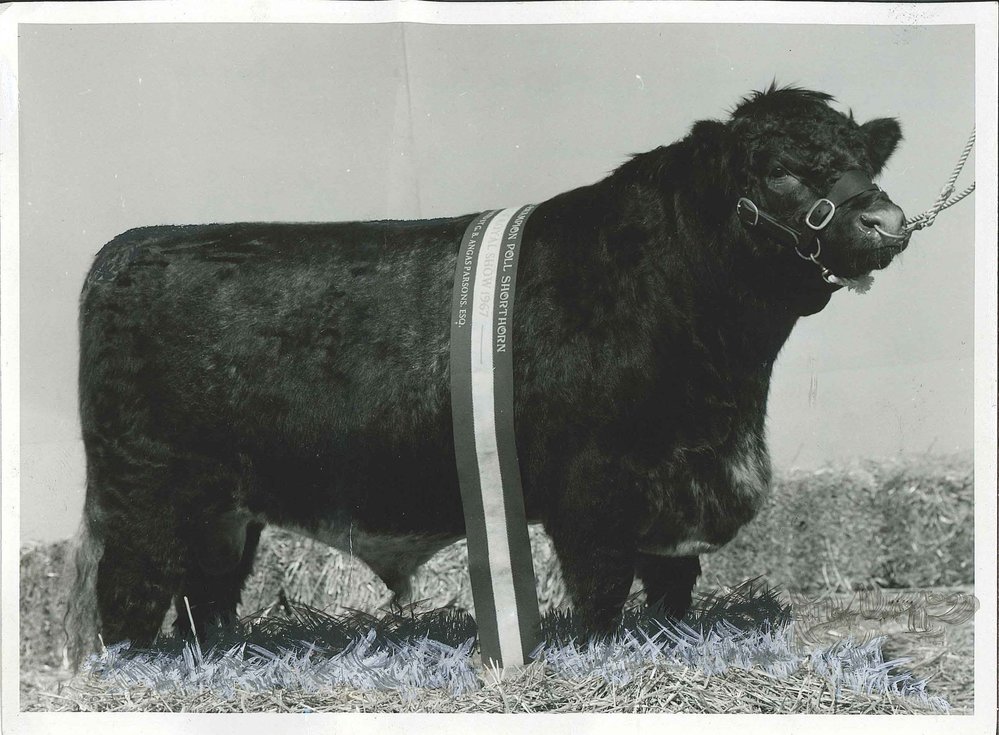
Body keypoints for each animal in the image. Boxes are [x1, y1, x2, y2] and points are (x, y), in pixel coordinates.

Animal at [65, 85, 909, 668]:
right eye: (780, 173)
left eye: (864, 163)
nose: (886, 222)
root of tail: (127, 248)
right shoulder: (594, 485)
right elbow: (602, 587)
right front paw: (599, 653)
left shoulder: (677, 482)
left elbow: (672, 582)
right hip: (145, 494)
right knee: (130, 594)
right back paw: (136, 668)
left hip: (220, 507)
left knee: (205, 593)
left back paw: (220, 657)